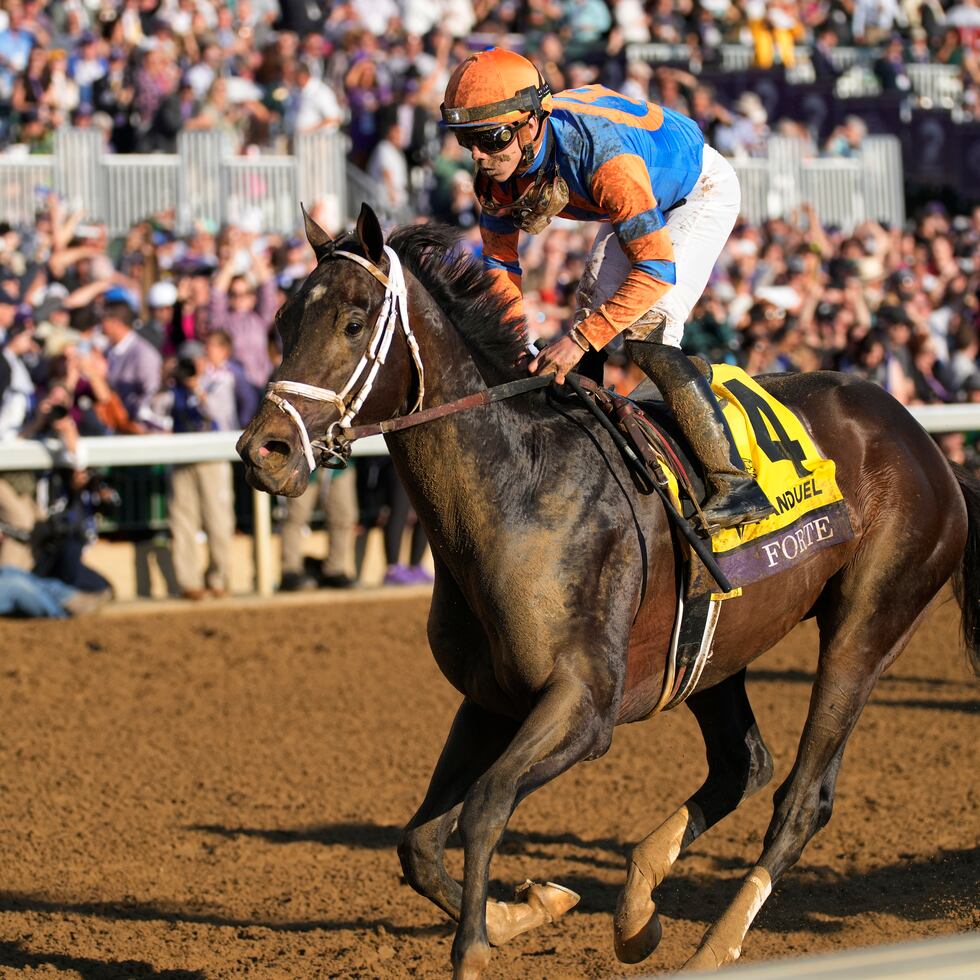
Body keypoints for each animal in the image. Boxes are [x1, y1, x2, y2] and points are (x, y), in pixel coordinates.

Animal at [237, 203, 980, 976]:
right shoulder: (492, 698)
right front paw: (527, 910)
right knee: (743, 764)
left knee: (804, 796)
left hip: (867, 627)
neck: (520, 489)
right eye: (284, 319)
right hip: (714, 647)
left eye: (354, 321)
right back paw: (639, 907)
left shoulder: (584, 705)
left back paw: (714, 944)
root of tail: (928, 445)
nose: (264, 451)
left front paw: (481, 944)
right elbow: (418, 842)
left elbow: (485, 805)